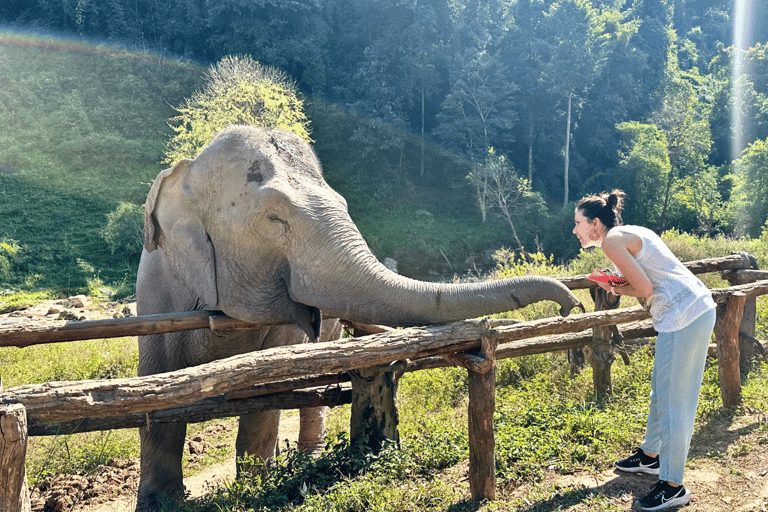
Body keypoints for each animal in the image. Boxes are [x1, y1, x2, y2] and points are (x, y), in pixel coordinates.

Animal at [135, 124, 582, 510]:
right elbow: (157, 390)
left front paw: (252, 491)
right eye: (274, 218)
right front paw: (159, 503)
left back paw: (306, 460)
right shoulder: (154, 289)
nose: (570, 306)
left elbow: (264, 391)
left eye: (343, 206)